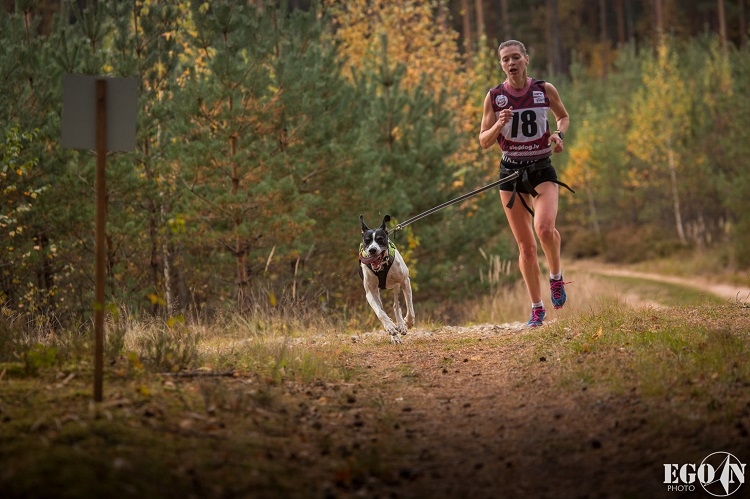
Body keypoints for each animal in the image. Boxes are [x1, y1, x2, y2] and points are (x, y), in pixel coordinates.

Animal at [360, 215, 418, 344]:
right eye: (367, 240)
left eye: (380, 239)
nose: (372, 250)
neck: (382, 267)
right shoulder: (370, 293)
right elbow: (380, 312)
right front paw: (390, 327)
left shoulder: (405, 281)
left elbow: (410, 307)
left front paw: (408, 322)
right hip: (378, 292)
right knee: (385, 310)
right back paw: (395, 335)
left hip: (396, 285)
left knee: (396, 306)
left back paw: (401, 325)